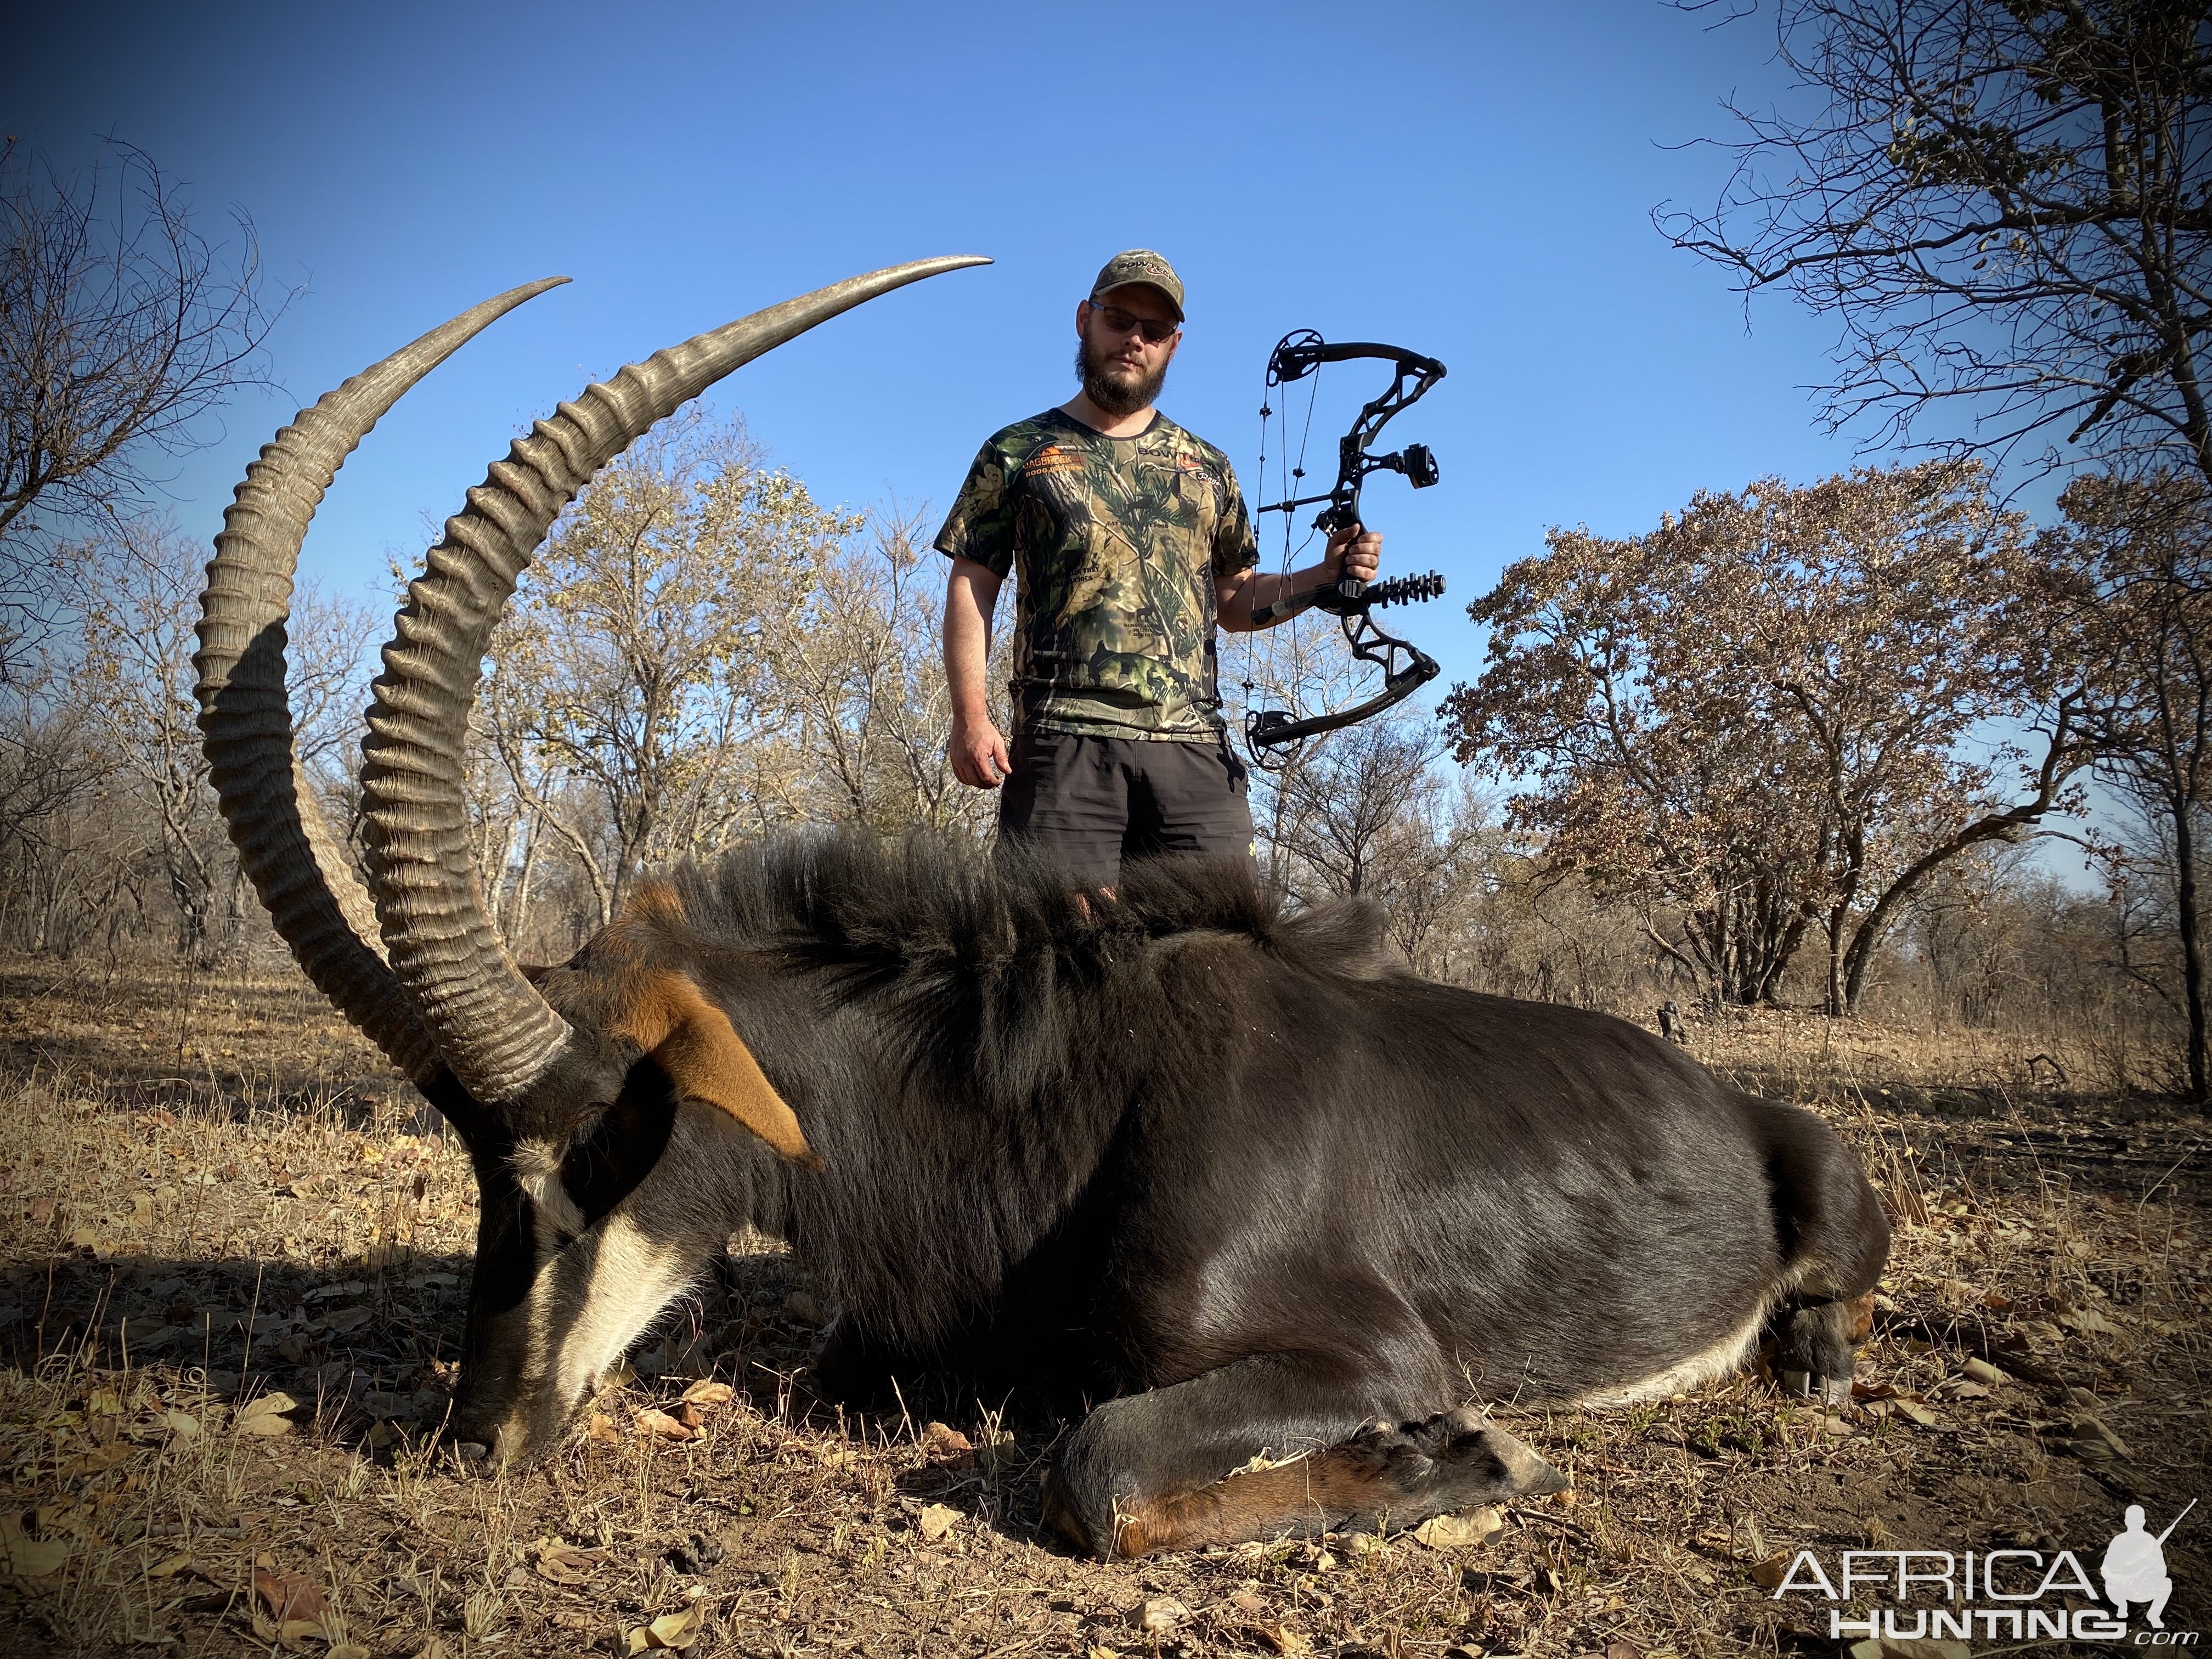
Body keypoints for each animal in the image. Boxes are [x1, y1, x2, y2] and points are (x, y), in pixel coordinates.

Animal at [194, 259, 1884, 1557]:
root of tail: (1726, 1095)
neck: (1054, 1096)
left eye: (608, 1140)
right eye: (484, 1163)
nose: (479, 1437)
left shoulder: (1368, 1349)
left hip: (1831, 1191)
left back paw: (1809, 1358)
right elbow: (868, 1385)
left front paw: (1464, 1454)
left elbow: (1097, 1468)